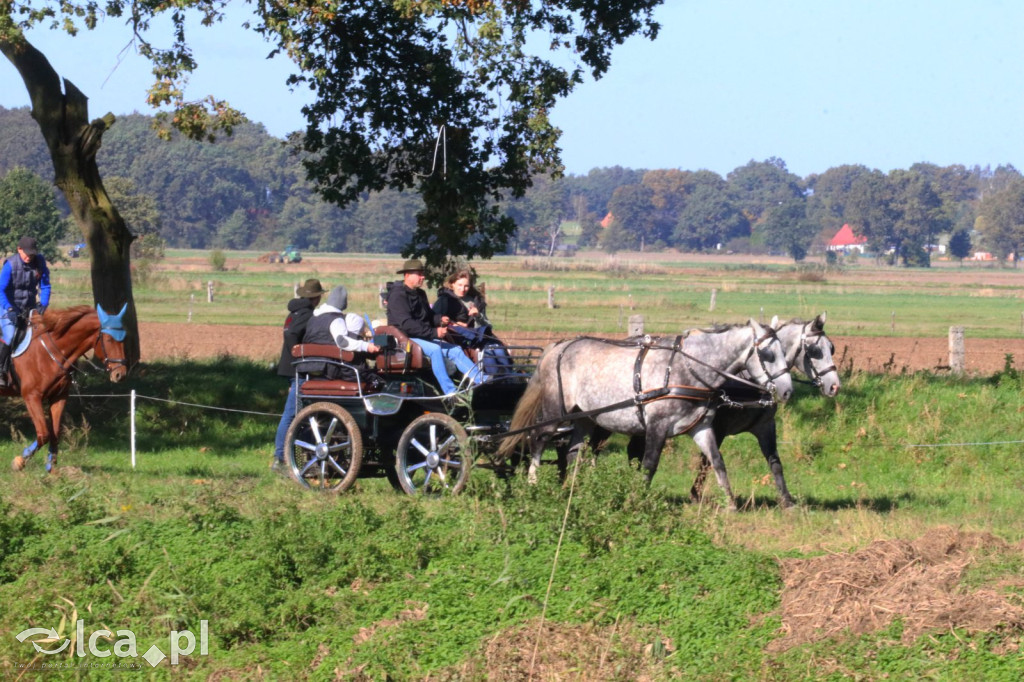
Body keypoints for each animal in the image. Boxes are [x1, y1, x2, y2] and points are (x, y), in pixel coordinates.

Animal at [4, 303, 129, 471]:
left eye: (124, 339)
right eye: (109, 339)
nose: (120, 374)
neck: (51, 352)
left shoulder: (58, 397)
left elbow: (55, 433)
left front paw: (51, 466)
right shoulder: (32, 397)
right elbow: (44, 434)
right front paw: (20, 461)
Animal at [499, 317, 794, 503]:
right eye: (768, 355)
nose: (787, 391)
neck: (686, 369)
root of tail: (558, 346)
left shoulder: (701, 427)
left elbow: (717, 462)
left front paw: (730, 503)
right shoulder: (657, 426)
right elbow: (649, 465)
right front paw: (638, 497)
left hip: (584, 418)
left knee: (573, 452)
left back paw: (576, 488)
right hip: (556, 411)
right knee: (538, 440)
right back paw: (533, 482)